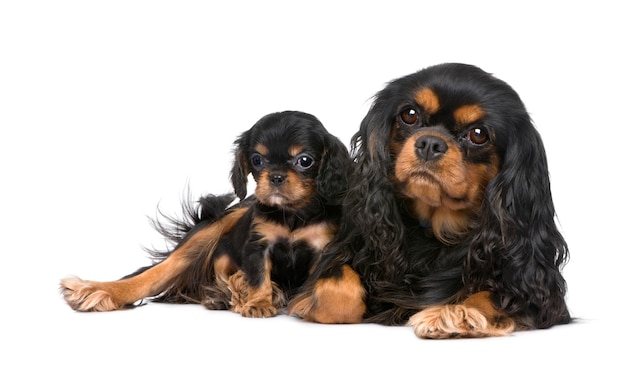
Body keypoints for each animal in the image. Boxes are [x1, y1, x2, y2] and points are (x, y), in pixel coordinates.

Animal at [59, 110, 352, 318]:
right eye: (257, 160)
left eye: (305, 161)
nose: (277, 177)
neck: (292, 215)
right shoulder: (259, 243)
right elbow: (259, 276)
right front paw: (258, 300)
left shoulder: (322, 249)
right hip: (220, 221)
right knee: (160, 270)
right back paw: (97, 290)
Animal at [288, 63, 572, 340]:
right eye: (410, 115)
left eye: (479, 134)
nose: (430, 142)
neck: (435, 227)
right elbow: (337, 286)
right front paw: (309, 304)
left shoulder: (540, 297)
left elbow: (493, 296)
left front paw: (456, 315)